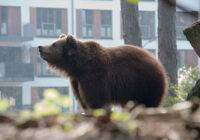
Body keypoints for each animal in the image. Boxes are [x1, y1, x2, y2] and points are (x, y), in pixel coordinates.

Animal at [38, 34, 168, 109]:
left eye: (53, 44)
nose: (40, 47)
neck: (78, 66)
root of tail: (158, 62)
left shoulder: (95, 75)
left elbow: (96, 98)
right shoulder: (76, 80)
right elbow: (82, 99)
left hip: (145, 82)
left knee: (148, 101)